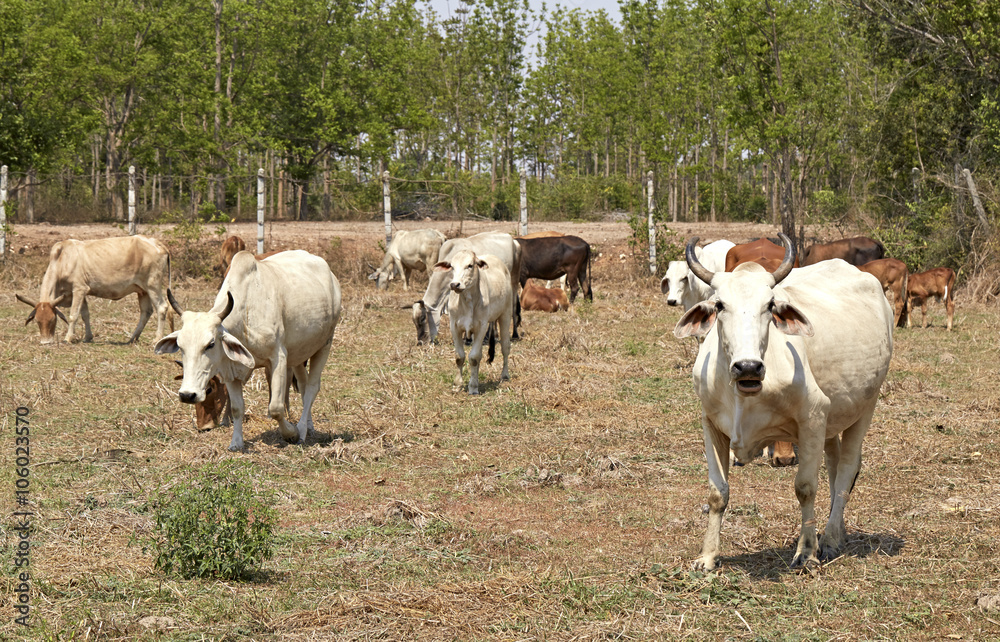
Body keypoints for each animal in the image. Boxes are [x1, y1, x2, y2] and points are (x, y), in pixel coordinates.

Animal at [17, 235, 172, 345]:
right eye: (37, 321)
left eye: (52, 320)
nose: (46, 342)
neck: (62, 260)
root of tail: (157, 243)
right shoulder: (79, 293)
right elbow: (85, 314)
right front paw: (87, 337)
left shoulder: (79, 289)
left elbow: (74, 315)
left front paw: (68, 338)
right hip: (142, 291)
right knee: (146, 312)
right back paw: (132, 338)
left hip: (153, 286)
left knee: (162, 307)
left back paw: (156, 338)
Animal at [155, 250, 341, 451]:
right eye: (180, 346)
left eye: (210, 344)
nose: (187, 395)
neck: (245, 314)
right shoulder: (230, 370)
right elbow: (237, 408)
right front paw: (236, 442)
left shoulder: (278, 358)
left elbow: (276, 408)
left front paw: (291, 433)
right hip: (299, 353)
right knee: (304, 385)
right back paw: (309, 425)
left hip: (324, 344)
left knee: (313, 387)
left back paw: (302, 430)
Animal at [434, 250, 513, 395]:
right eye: (452, 266)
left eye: (470, 265)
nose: (454, 284)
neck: (467, 301)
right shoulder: (454, 326)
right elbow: (460, 356)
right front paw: (457, 384)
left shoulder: (482, 326)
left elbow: (474, 357)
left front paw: (473, 386)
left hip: (505, 315)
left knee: (505, 347)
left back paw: (505, 375)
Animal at [674, 234, 893, 570]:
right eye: (720, 305)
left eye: (769, 305)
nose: (748, 367)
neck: (743, 395)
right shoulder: (711, 424)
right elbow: (717, 493)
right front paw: (708, 557)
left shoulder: (813, 416)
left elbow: (805, 488)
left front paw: (807, 552)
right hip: (833, 416)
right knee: (834, 464)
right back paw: (838, 532)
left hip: (866, 405)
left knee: (846, 469)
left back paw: (829, 539)